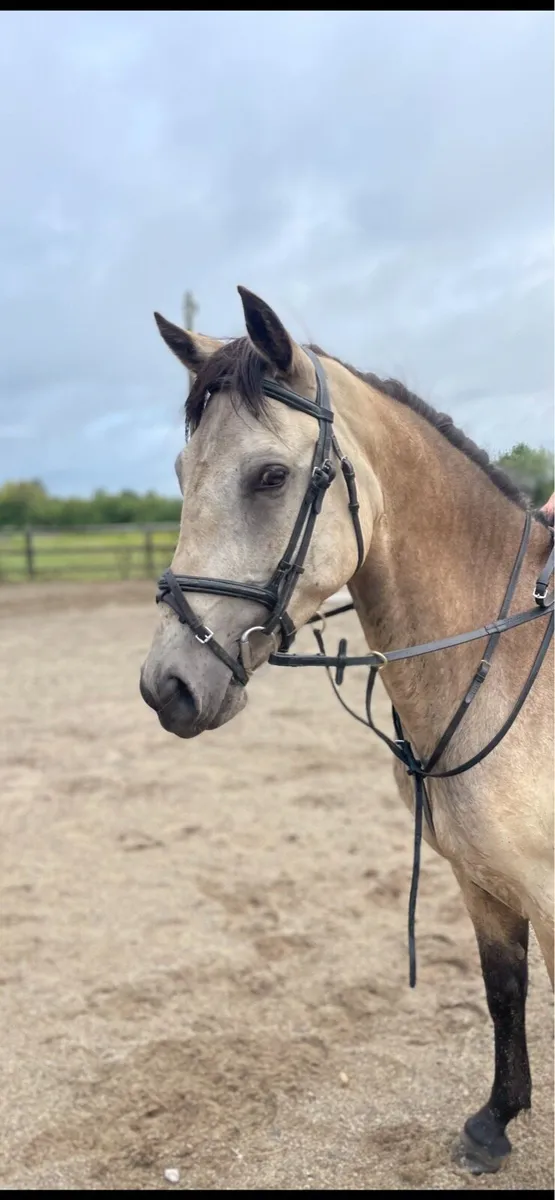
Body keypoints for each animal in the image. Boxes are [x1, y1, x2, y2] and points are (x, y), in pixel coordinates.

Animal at [140, 286, 553, 1176]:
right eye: (183, 474)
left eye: (268, 476)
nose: (168, 687)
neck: (505, 663)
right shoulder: (482, 882)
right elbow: (503, 991)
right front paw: (494, 1122)